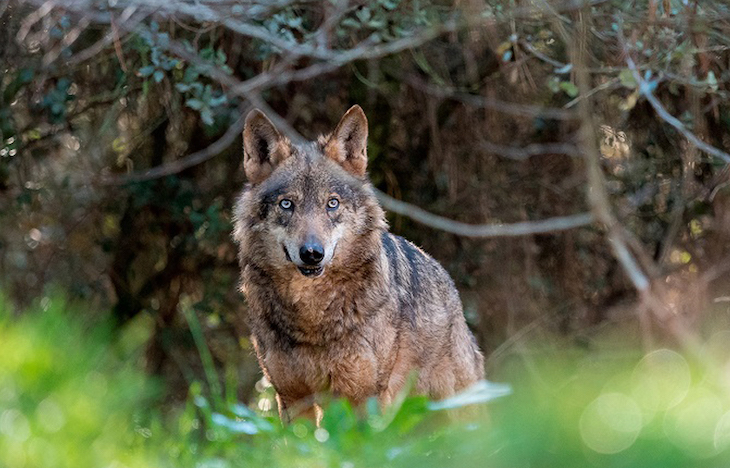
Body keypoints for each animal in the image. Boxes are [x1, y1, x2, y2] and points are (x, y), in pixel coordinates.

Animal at [233, 105, 484, 421]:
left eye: (332, 203)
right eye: (287, 204)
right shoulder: (292, 398)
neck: (311, 316)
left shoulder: (364, 396)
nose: (312, 253)